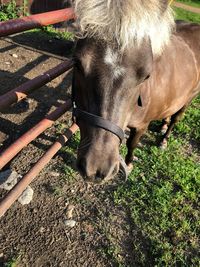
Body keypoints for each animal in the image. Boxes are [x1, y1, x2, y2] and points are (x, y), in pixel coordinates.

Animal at [72, 0, 200, 183]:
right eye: (77, 63)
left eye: (146, 75)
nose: (95, 168)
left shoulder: (141, 126)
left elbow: (132, 143)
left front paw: (129, 163)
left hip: (189, 98)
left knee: (176, 118)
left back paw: (164, 139)